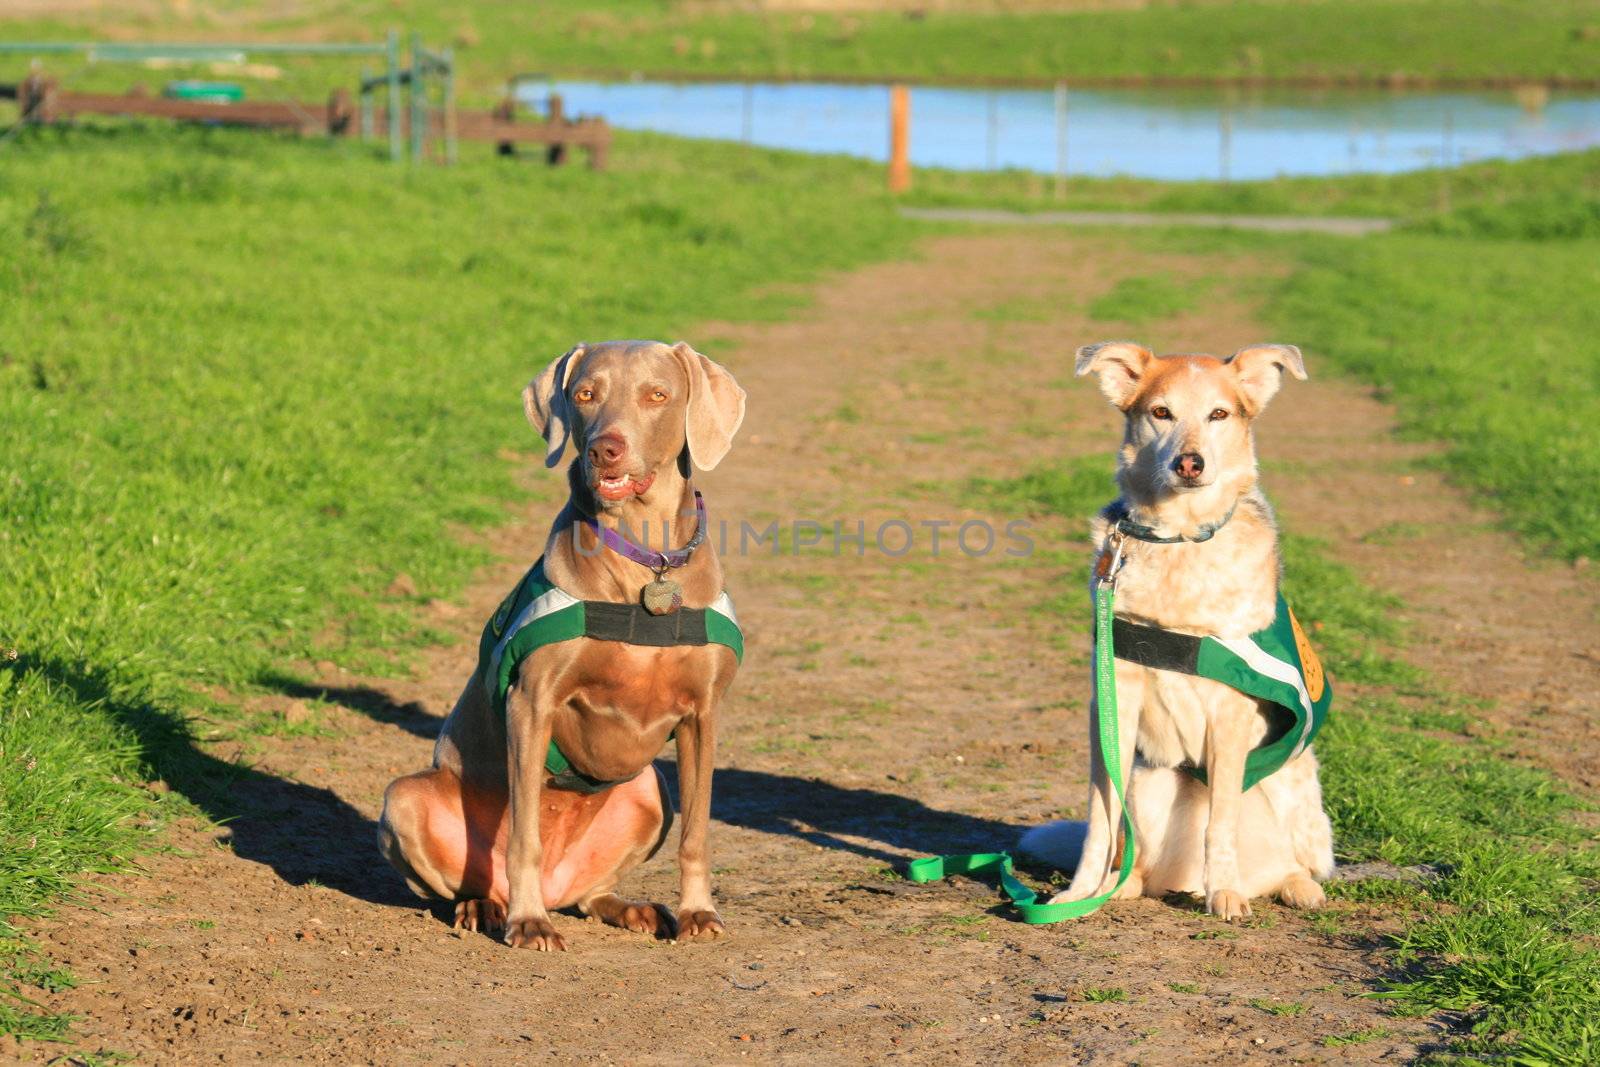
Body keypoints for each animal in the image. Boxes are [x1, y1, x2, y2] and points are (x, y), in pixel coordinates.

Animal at [377, 337, 745, 947]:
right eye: (585, 394)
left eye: (657, 395)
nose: (605, 449)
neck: (644, 561)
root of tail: (559, 886)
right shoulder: (532, 703)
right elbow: (524, 833)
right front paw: (528, 925)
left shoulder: (703, 715)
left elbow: (697, 832)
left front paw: (699, 913)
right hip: (406, 799)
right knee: (475, 877)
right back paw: (492, 907)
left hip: (650, 790)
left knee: (592, 892)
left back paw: (630, 908)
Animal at [1024, 340, 1337, 921]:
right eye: (1161, 412)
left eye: (1219, 414)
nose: (1190, 462)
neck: (1180, 539)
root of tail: (1179, 879)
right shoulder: (1113, 701)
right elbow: (1101, 819)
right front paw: (1079, 893)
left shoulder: (1231, 712)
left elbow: (1221, 823)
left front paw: (1226, 895)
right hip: (1151, 780)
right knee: (1136, 858)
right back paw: (1123, 886)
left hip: (1292, 783)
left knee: (1285, 857)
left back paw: (1289, 887)